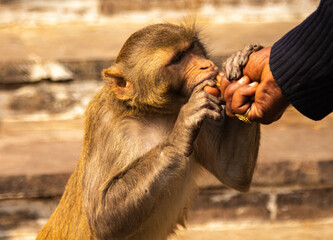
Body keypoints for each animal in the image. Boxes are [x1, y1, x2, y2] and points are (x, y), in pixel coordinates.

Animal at [36, 23, 260, 240]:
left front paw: (238, 64)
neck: (150, 113)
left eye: (192, 47)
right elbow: (102, 217)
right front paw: (181, 132)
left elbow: (232, 171)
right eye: (178, 58)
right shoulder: (105, 124)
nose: (205, 64)